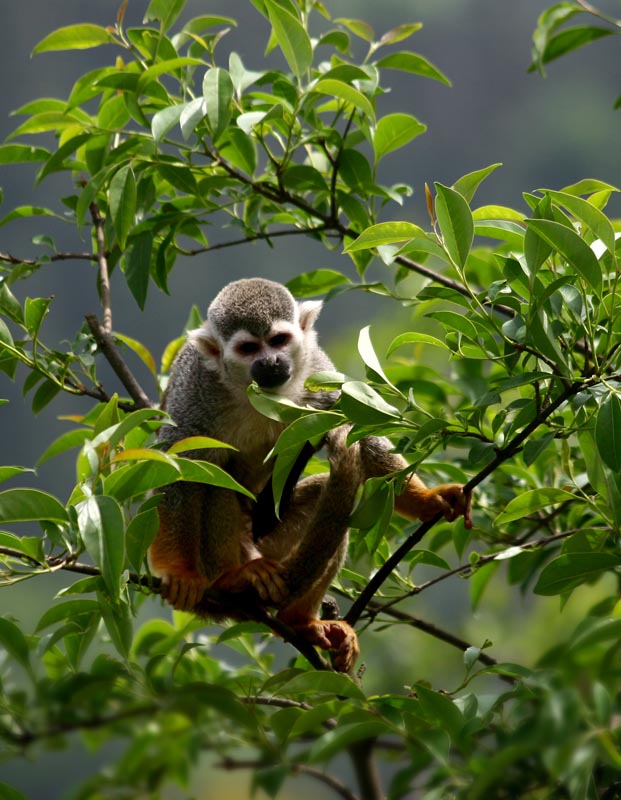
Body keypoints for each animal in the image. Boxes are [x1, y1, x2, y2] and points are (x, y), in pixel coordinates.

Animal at [150, 278, 470, 672]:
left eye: (278, 340)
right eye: (248, 348)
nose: (270, 362)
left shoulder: (317, 368)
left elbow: (361, 431)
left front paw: (428, 500)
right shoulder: (197, 388)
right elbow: (178, 467)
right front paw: (177, 572)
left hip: (269, 539)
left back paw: (298, 621)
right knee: (214, 475)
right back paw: (229, 580)